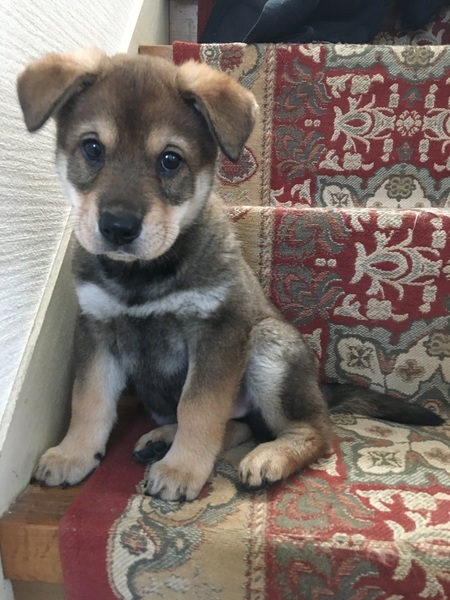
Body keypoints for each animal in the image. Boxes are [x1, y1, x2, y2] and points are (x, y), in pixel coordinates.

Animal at [17, 49, 444, 501]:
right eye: (92, 148)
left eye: (170, 159)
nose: (117, 227)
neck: (144, 277)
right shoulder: (96, 328)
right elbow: (90, 399)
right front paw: (74, 454)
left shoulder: (217, 330)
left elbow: (199, 407)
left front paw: (183, 469)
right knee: (237, 425)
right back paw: (162, 440)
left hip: (267, 346)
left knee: (314, 431)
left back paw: (269, 457)